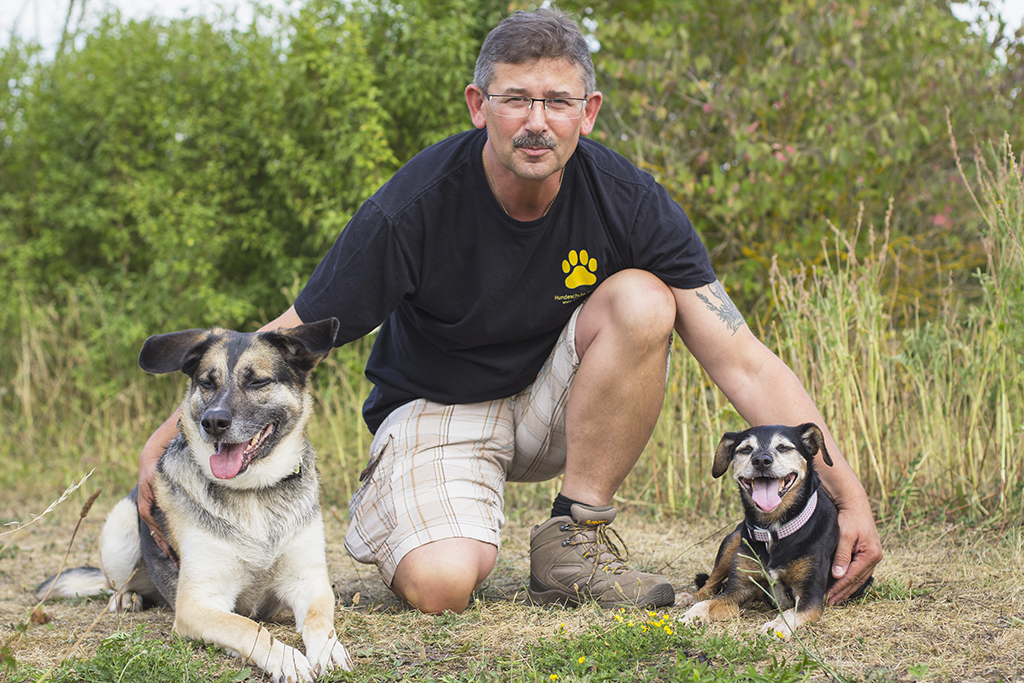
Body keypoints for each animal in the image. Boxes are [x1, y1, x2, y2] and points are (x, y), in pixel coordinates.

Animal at [37, 321, 352, 683]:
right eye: (207, 382)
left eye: (258, 381)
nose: (213, 422)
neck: (253, 492)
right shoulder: (197, 604)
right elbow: (248, 627)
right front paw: (287, 659)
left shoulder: (309, 582)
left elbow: (318, 620)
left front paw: (327, 649)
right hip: (122, 523)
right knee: (114, 584)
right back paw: (127, 598)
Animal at [679, 421, 864, 643]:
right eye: (745, 449)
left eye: (783, 447)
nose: (761, 461)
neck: (773, 530)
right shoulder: (737, 590)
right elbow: (708, 602)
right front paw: (692, 613)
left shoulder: (810, 597)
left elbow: (790, 613)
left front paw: (777, 626)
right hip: (732, 541)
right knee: (709, 584)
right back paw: (689, 597)